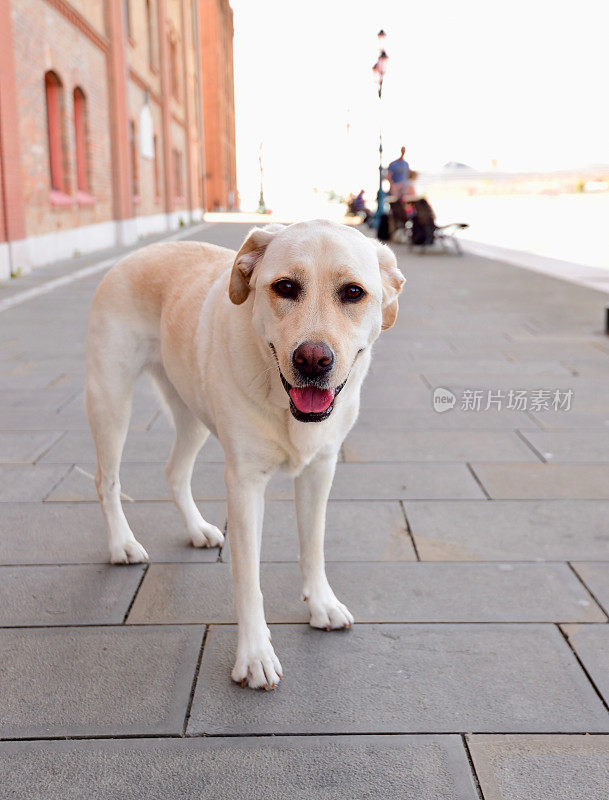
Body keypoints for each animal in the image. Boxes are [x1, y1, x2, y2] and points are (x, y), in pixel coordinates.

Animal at [86, 219, 404, 688]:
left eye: (352, 292)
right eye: (285, 286)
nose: (313, 360)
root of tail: (138, 253)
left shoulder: (321, 469)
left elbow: (313, 544)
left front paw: (321, 603)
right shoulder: (245, 483)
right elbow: (248, 577)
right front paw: (255, 655)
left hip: (191, 413)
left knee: (174, 471)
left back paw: (198, 529)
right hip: (111, 401)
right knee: (106, 480)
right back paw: (123, 544)